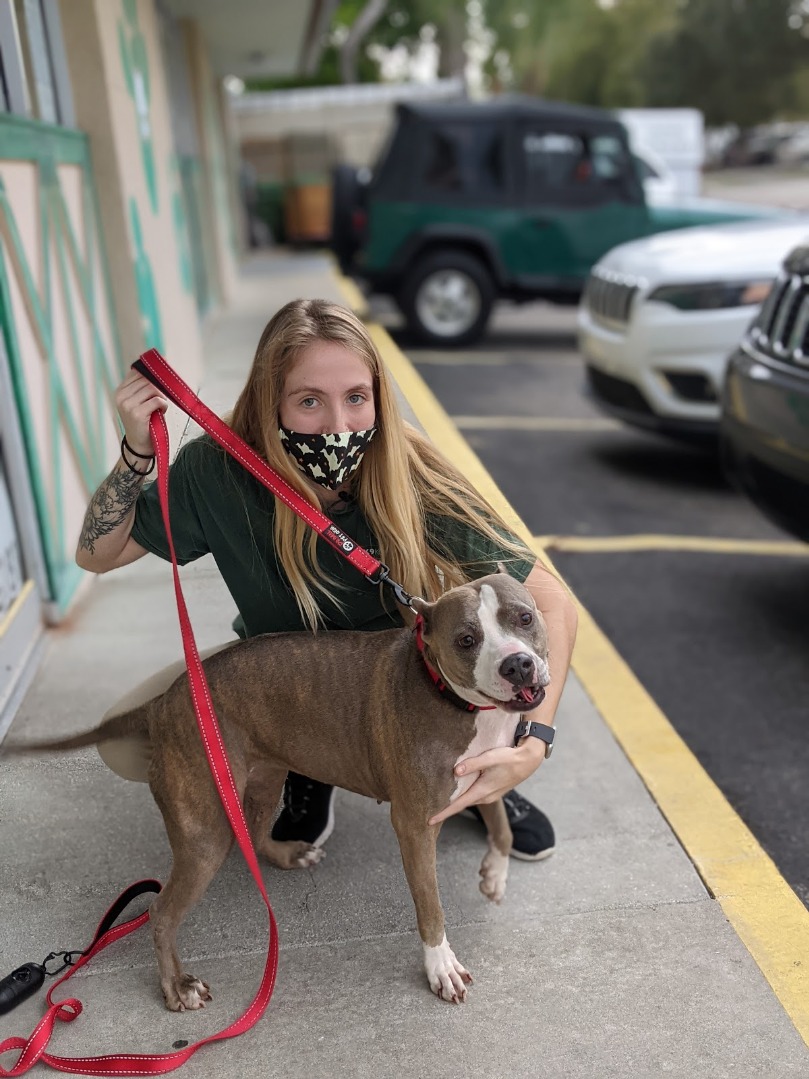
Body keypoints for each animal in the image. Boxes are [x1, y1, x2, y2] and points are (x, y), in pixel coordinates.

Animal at [6, 570, 550, 1009]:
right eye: (466, 639)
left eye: (524, 617)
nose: (518, 665)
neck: (454, 698)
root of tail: (166, 701)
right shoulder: (415, 826)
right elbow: (431, 906)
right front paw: (441, 967)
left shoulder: (491, 766)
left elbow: (500, 819)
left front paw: (495, 873)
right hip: (205, 835)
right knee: (160, 912)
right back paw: (177, 986)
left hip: (265, 777)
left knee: (254, 829)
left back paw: (288, 854)